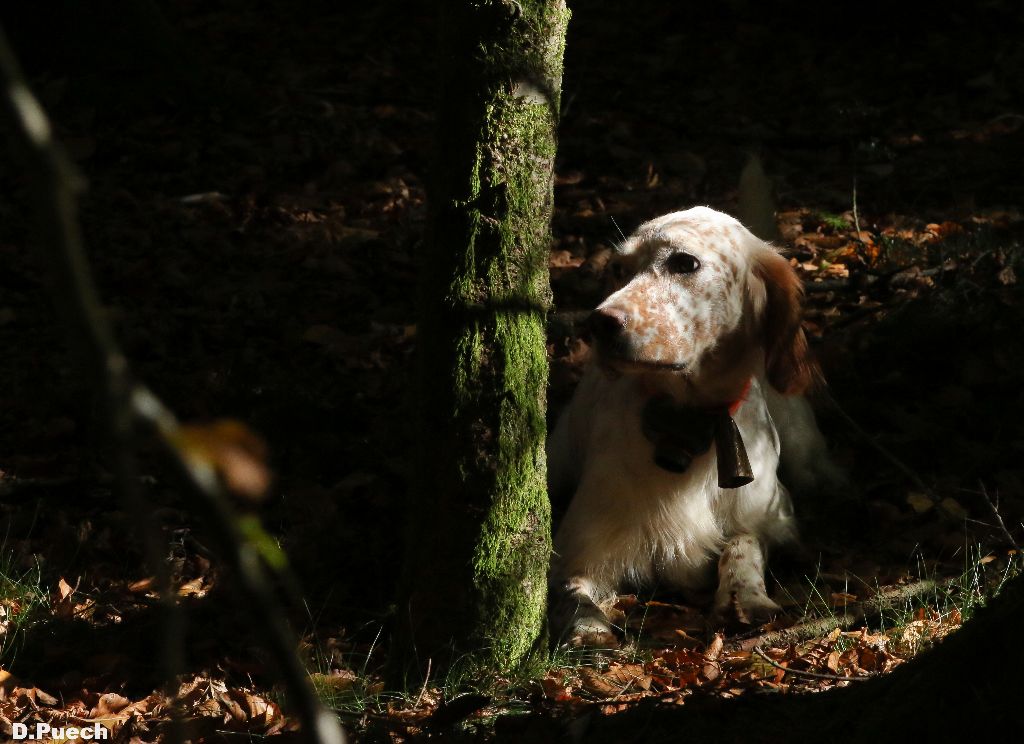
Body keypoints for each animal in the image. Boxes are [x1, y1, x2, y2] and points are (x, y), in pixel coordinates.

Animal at [548, 206, 843, 642]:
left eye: (684, 263)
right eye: (619, 268)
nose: (598, 323)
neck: (686, 423)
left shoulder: (774, 514)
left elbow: (741, 543)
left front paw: (744, 595)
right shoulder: (581, 545)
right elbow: (571, 587)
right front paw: (586, 624)